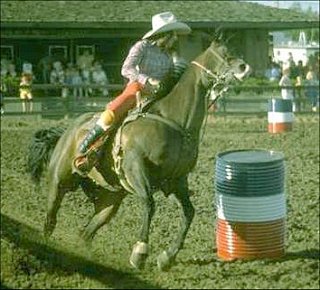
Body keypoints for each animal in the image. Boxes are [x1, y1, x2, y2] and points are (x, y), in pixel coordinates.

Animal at [26, 39, 250, 270]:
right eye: (224, 54)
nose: (244, 67)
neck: (175, 123)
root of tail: (68, 131)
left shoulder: (177, 180)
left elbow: (189, 212)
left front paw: (167, 257)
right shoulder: (136, 168)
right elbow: (150, 205)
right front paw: (139, 253)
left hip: (110, 200)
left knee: (86, 233)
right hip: (59, 181)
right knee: (50, 220)